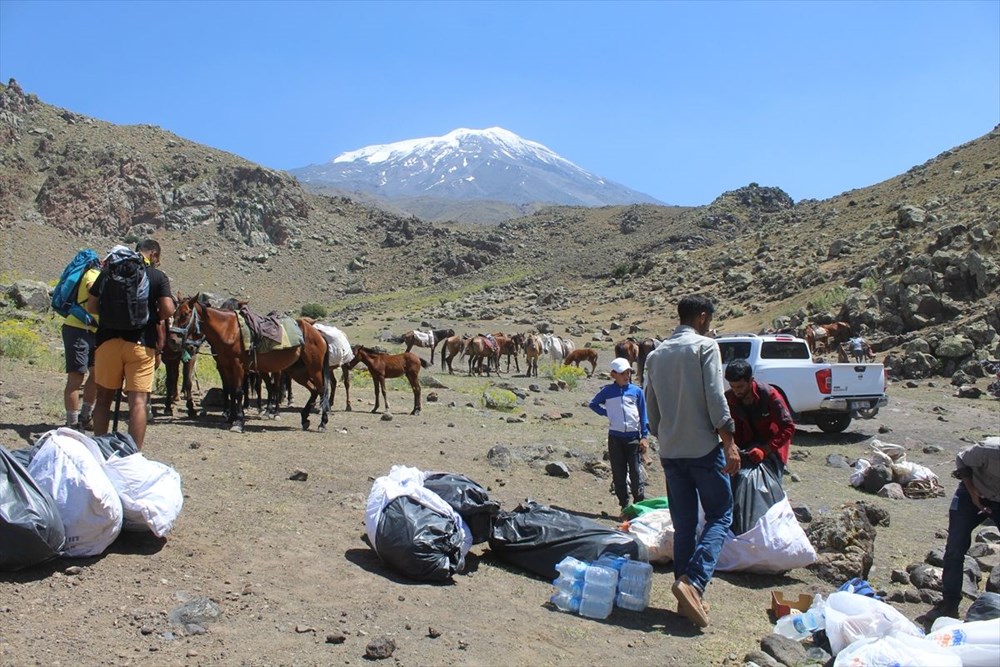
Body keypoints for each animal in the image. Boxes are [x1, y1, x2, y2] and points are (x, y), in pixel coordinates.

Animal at [172, 296, 328, 434]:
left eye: (185, 314)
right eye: (174, 314)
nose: (173, 340)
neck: (229, 330)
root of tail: (317, 333)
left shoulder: (238, 366)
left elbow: (238, 391)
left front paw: (239, 422)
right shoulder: (226, 367)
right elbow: (231, 391)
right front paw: (231, 417)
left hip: (313, 369)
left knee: (321, 390)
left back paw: (322, 422)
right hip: (298, 372)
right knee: (313, 390)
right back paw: (304, 418)